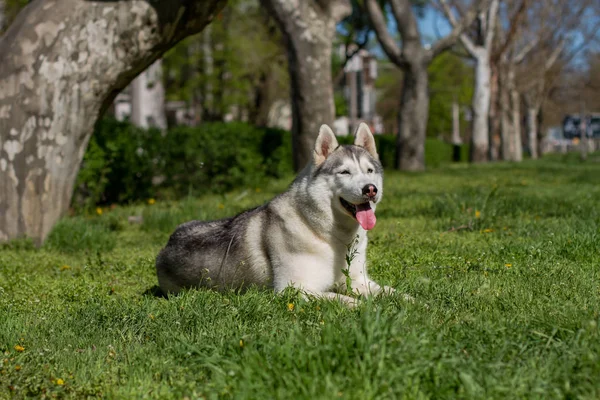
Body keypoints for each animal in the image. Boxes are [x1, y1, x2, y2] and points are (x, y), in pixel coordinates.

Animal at [155, 123, 392, 304]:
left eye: (369, 171)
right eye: (344, 172)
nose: (370, 189)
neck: (330, 236)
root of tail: (167, 243)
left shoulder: (358, 280)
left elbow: (390, 291)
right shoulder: (294, 288)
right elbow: (346, 299)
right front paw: (370, 308)